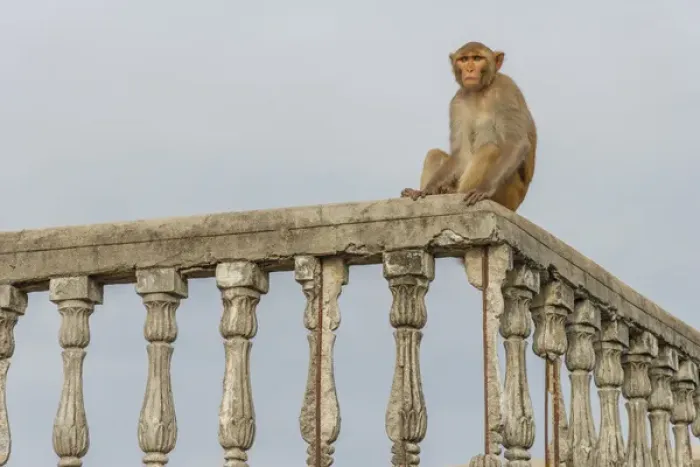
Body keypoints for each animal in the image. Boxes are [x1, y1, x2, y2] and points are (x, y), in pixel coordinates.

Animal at [401, 41, 536, 212]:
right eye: (464, 59)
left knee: (490, 149)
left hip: (510, 196)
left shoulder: (506, 90)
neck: (480, 91)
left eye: (477, 58)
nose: (470, 69)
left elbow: (516, 143)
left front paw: (484, 188)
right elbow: (460, 153)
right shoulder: (457, 102)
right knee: (435, 153)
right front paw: (428, 189)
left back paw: (456, 192)